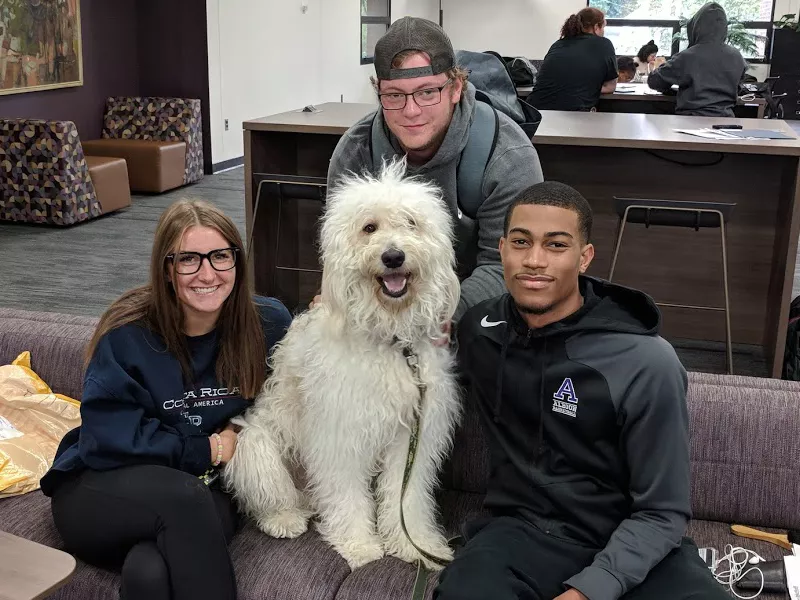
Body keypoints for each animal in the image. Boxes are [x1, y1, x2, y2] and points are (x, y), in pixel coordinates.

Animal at [225, 157, 462, 568]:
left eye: (411, 222)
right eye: (369, 227)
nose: (393, 256)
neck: (390, 341)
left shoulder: (411, 438)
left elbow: (406, 497)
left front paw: (415, 544)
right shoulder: (342, 433)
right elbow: (348, 494)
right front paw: (360, 546)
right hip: (255, 442)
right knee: (274, 496)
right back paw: (284, 519)